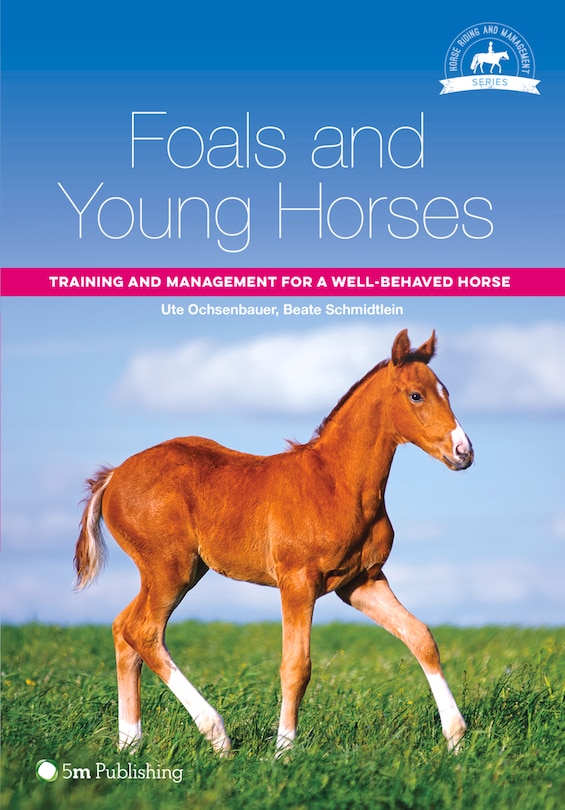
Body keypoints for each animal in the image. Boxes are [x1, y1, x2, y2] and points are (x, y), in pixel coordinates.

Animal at [74, 329, 473, 756]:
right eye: (416, 395)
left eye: (447, 391)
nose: (464, 452)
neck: (338, 483)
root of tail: (113, 475)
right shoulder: (297, 582)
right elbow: (296, 666)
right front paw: (284, 750)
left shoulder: (361, 582)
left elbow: (421, 637)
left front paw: (455, 737)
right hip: (169, 568)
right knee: (143, 632)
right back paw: (216, 735)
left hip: (175, 571)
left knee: (123, 629)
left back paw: (129, 743)